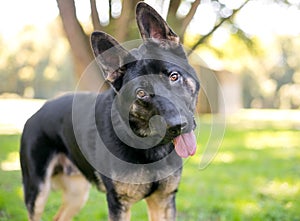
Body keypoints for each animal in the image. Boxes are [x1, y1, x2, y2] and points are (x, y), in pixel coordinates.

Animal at [20, 2, 199, 221]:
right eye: (141, 93)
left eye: (174, 76)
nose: (177, 125)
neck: (149, 146)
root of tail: (38, 111)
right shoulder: (118, 204)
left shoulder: (163, 201)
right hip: (38, 192)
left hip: (77, 193)